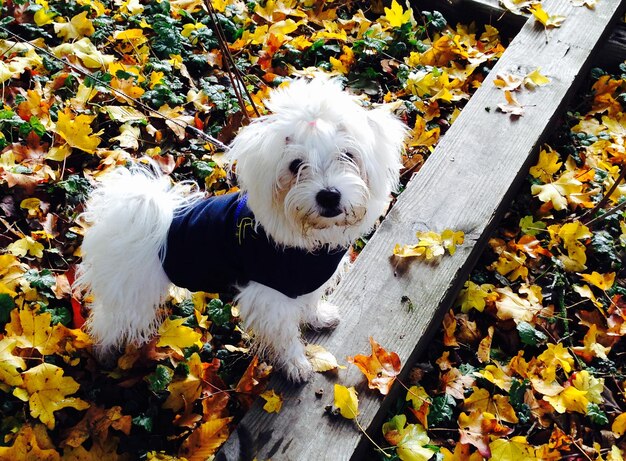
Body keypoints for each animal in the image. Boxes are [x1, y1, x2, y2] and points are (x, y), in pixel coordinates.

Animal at [75, 78, 404, 380]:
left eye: (348, 155)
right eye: (295, 165)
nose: (328, 195)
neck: (305, 238)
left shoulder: (305, 280)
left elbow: (309, 302)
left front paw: (319, 317)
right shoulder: (271, 296)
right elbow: (284, 335)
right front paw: (296, 364)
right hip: (130, 291)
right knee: (108, 322)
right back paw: (104, 354)